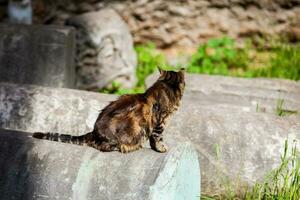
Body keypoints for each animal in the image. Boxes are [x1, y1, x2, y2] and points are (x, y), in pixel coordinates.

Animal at [31, 67, 184, 153]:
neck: (166, 87)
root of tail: (93, 132)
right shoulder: (160, 122)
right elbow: (157, 138)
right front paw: (161, 149)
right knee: (102, 147)